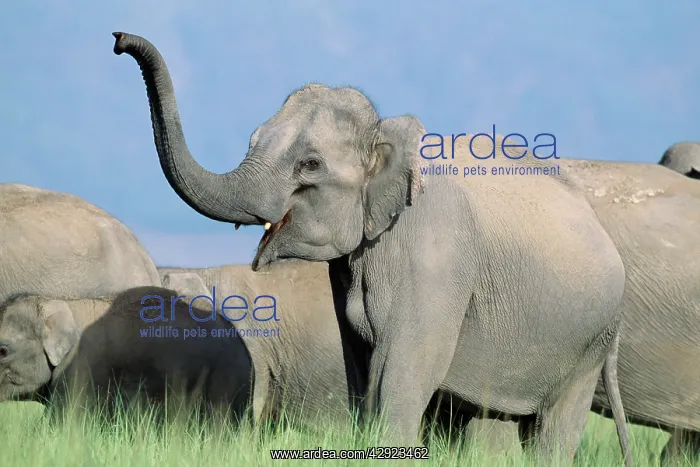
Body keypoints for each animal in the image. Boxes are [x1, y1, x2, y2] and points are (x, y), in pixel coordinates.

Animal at [113, 32, 633, 466]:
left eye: (310, 164)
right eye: (253, 140)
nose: (118, 39)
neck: (386, 134)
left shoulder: (434, 257)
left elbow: (400, 368)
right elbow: (363, 370)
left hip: (589, 342)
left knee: (554, 429)